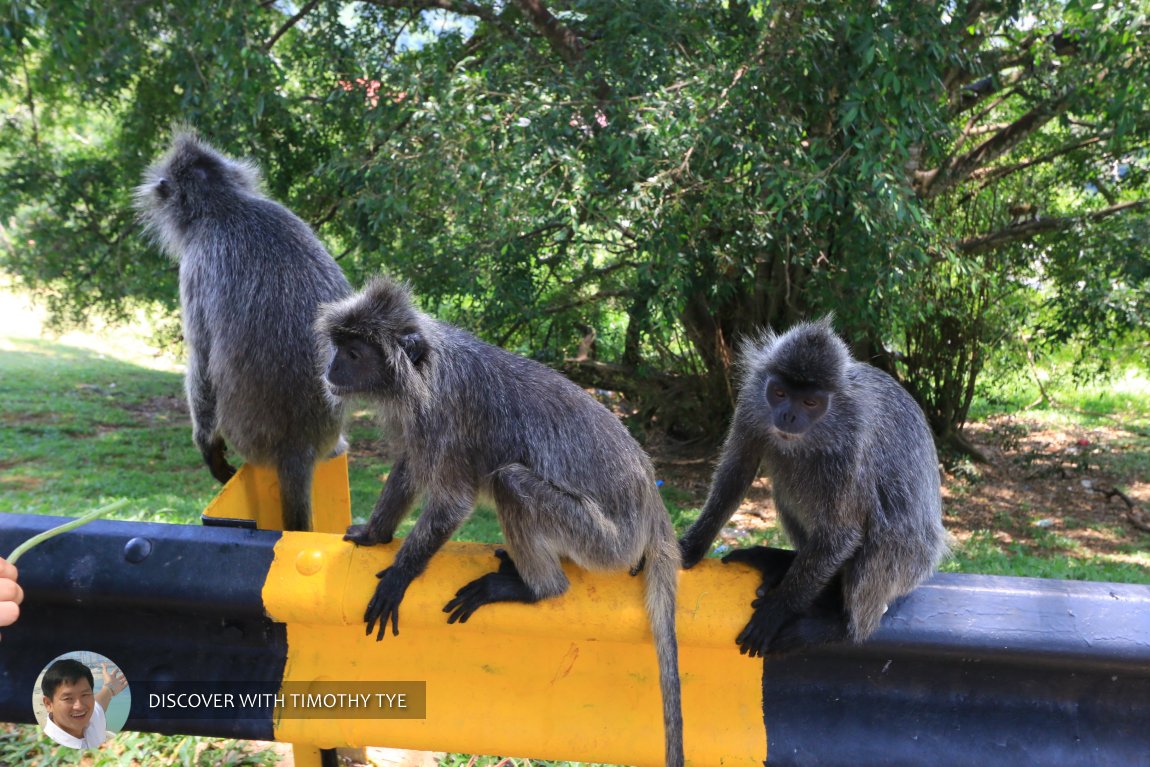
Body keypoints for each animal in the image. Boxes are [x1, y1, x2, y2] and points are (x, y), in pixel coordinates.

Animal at [135, 130, 349, 533]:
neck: (226, 206)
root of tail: (297, 448)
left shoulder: (195, 265)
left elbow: (201, 359)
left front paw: (208, 447)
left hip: (247, 436)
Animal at [312, 279, 680, 767]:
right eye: (341, 348)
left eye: (353, 354)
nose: (331, 368)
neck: (430, 368)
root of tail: (652, 501)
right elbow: (410, 466)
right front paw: (374, 535)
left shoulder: (446, 416)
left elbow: (452, 502)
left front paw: (398, 576)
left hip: (603, 542)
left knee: (511, 482)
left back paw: (534, 587)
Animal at [676, 317, 947, 662]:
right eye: (779, 393)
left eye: (810, 402)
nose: (788, 415)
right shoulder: (752, 403)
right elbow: (735, 473)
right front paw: (691, 546)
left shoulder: (852, 445)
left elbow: (841, 534)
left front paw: (779, 609)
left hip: (911, 561)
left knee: (885, 531)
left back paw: (840, 624)